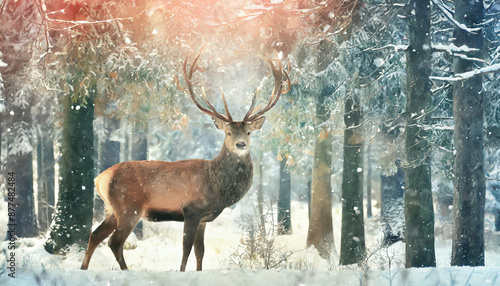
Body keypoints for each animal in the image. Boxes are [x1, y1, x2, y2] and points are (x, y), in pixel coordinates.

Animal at [80, 49, 292, 272]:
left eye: (249, 132)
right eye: (228, 132)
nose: (241, 144)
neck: (216, 186)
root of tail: (100, 178)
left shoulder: (204, 219)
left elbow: (200, 252)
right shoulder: (191, 210)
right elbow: (186, 249)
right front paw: (181, 271)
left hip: (110, 209)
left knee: (95, 236)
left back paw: (83, 268)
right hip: (128, 207)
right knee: (114, 242)